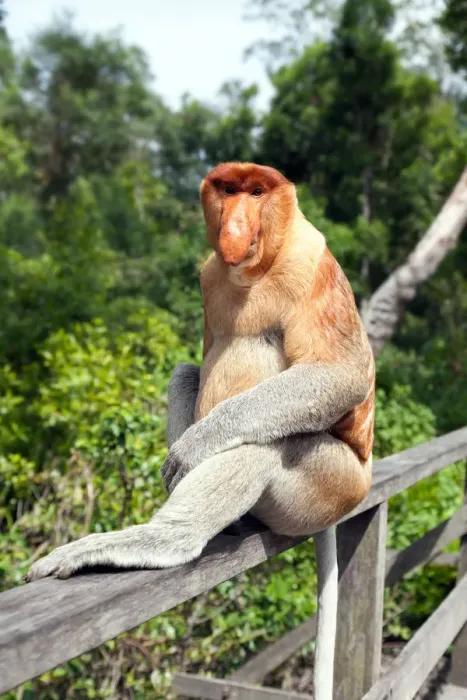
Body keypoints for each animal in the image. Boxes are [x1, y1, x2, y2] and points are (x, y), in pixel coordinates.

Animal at [25, 162, 375, 700]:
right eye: (228, 190)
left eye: (257, 191)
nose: (235, 223)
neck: (254, 270)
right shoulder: (210, 275)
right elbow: (196, 362)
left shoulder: (312, 263)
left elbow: (344, 373)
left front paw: (192, 450)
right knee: (185, 372)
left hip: (333, 485)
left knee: (271, 442)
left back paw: (163, 538)